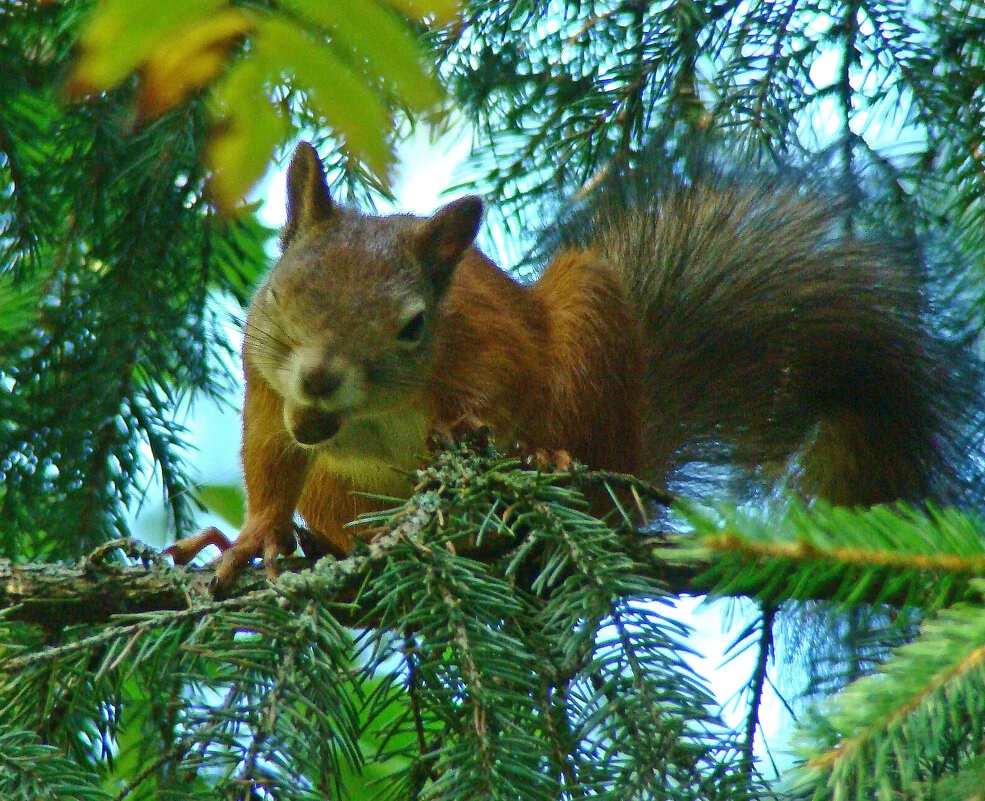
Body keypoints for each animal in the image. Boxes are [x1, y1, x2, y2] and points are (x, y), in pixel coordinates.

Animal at [165, 142, 972, 580]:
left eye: (414, 325)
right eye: (282, 289)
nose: (321, 378)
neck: (369, 414)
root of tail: (635, 461)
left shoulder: (490, 341)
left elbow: (500, 381)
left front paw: (461, 432)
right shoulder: (267, 388)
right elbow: (269, 458)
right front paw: (258, 535)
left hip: (591, 340)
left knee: (585, 465)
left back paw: (554, 469)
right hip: (338, 491)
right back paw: (324, 539)